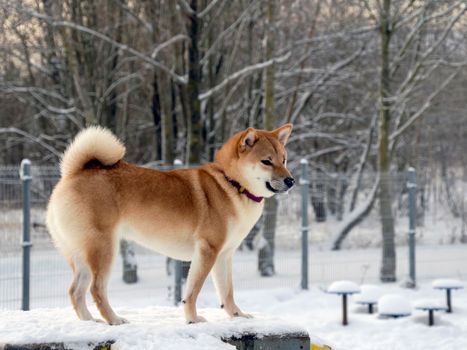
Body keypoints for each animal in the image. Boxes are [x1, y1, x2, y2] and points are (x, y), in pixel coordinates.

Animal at [45, 123, 294, 326]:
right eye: (266, 161)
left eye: (283, 159)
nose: (290, 180)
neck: (231, 184)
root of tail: (74, 173)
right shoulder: (207, 251)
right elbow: (192, 292)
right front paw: (193, 319)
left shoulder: (224, 255)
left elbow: (227, 292)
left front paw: (237, 316)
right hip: (104, 249)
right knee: (96, 289)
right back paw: (113, 319)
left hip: (80, 255)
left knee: (75, 291)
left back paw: (89, 321)